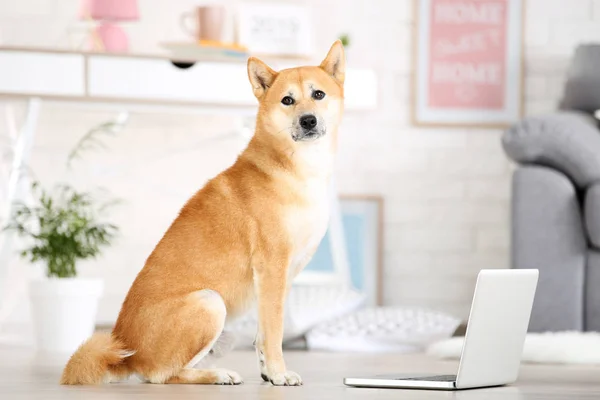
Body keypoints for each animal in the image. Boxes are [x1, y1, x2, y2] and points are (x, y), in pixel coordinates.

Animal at [61, 39, 344, 384]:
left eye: (318, 94)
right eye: (287, 100)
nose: (308, 120)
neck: (295, 168)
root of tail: (126, 352)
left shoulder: (280, 279)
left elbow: (263, 334)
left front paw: (267, 372)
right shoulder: (272, 269)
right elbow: (274, 333)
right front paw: (279, 374)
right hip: (210, 303)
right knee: (161, 375)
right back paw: (216, 374)